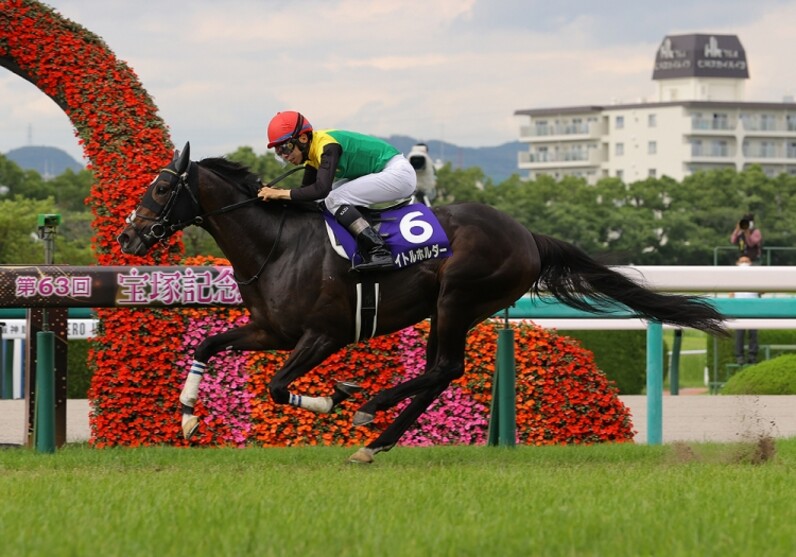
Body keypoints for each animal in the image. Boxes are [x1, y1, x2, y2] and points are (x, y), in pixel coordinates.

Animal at [116, 142, 728, 460]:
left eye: (163, 188)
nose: (127, 237)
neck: (278, 245)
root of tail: (528, 236)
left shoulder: (324, 334)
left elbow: (277, 386)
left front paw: (336, 397)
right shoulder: (272, 331)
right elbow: (209, 346)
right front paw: (188, 417)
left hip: (459, 296)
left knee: (445, 367)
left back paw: (370, 410)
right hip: (445, 309)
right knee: (440, 372)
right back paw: (376, 440)